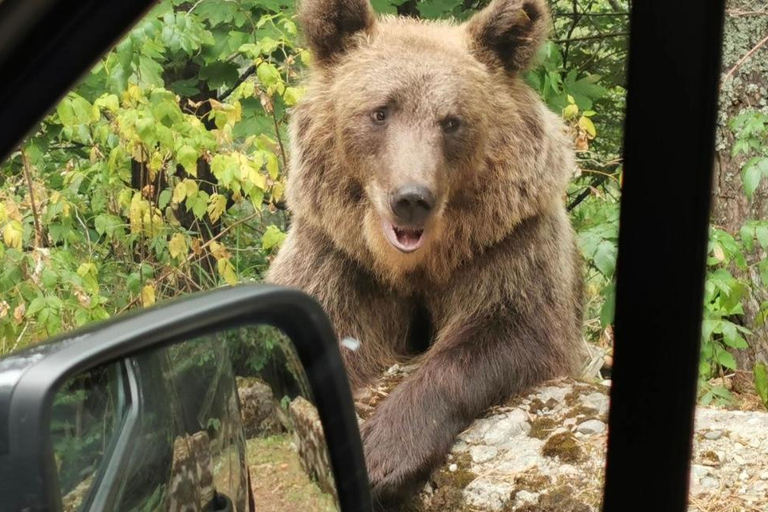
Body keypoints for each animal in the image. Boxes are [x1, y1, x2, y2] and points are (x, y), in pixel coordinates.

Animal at [266, 0, 584, 506]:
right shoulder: (337, 258)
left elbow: (510, 330)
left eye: (452, 121)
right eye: (380, 112)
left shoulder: (507, 246)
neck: (416, 265)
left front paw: (385, 453)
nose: (412, 198)